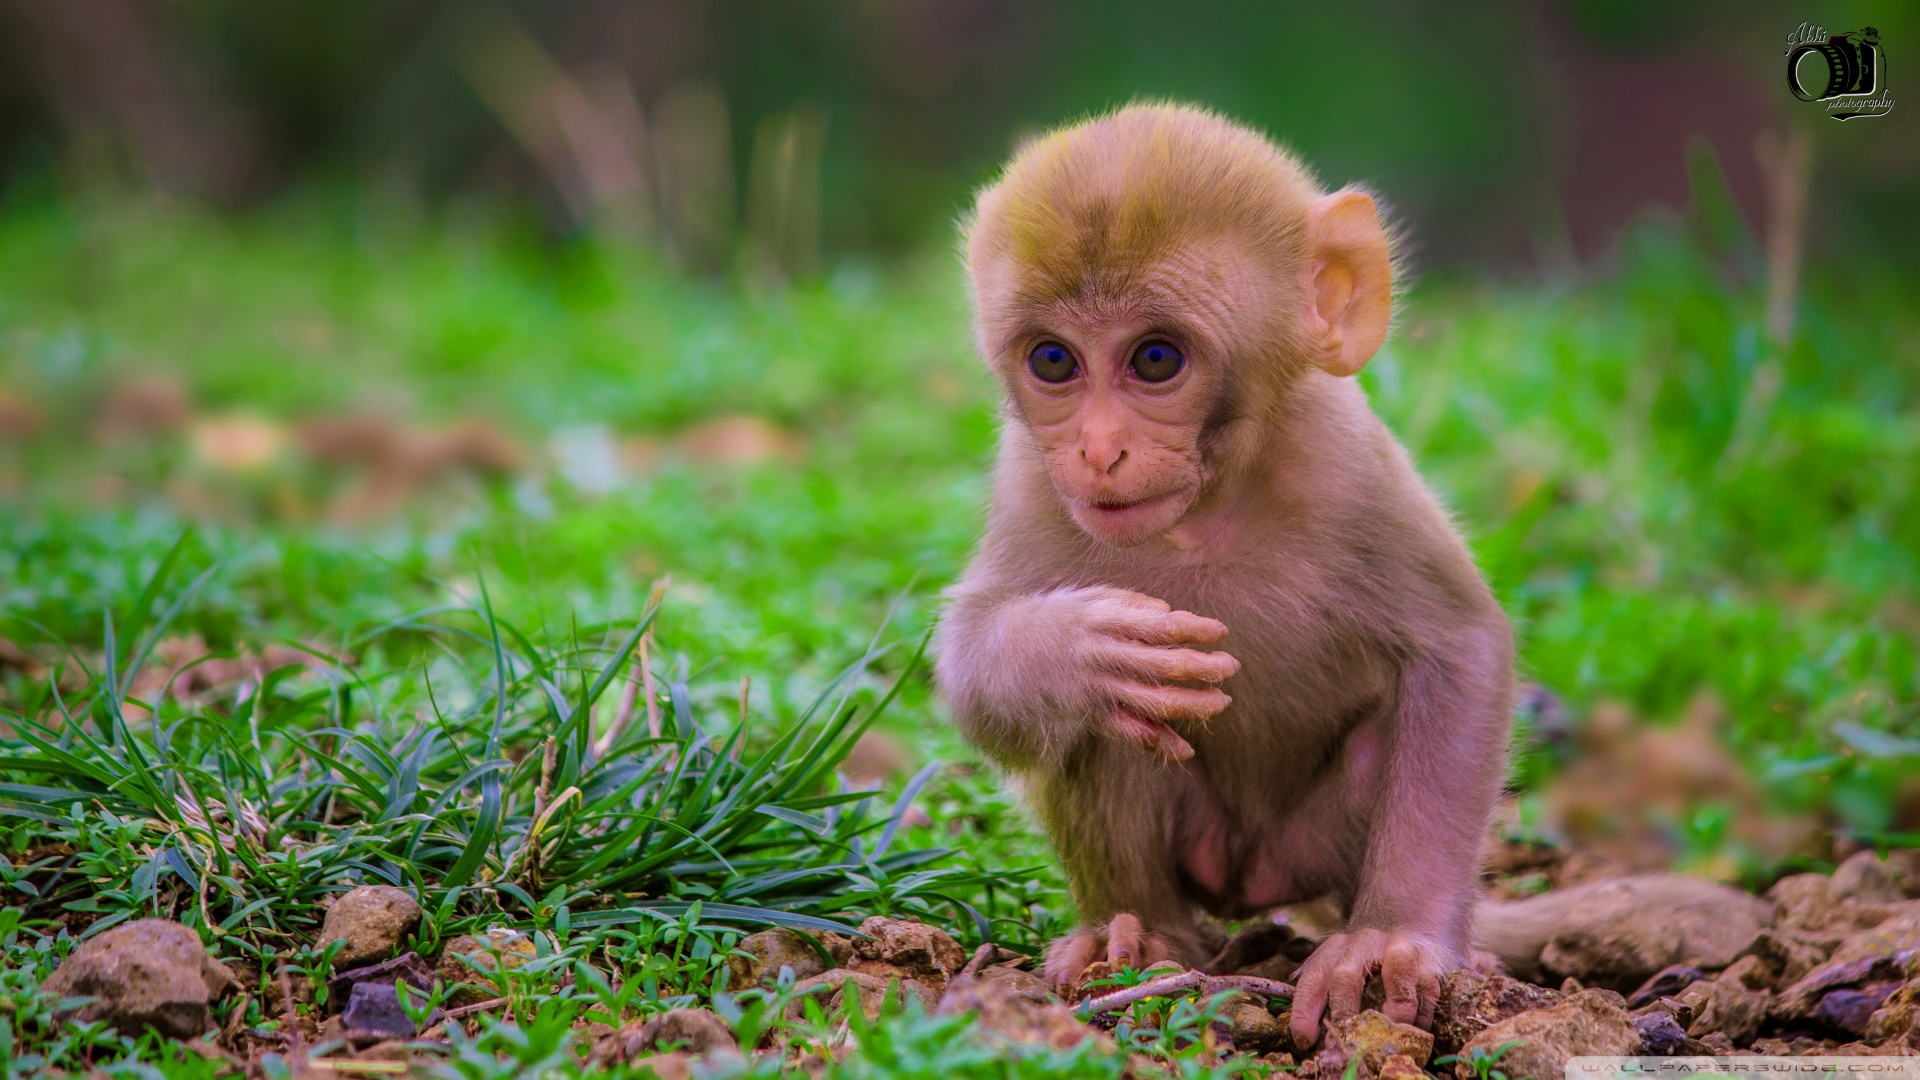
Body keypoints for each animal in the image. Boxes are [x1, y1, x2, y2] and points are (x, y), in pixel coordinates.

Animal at [930, 103, 1513, 1048]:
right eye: (1053, 361)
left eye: (1156, 360)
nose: (1098, 450)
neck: (1206, 508)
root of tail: (1251, 881)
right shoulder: (1032, 480)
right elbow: (975, 668)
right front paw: (1078, 651)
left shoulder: (1346, 458)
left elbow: (1459, 650)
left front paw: (1393, 937)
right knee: (1110, 726)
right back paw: (1137, 936)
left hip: (1310, 845)